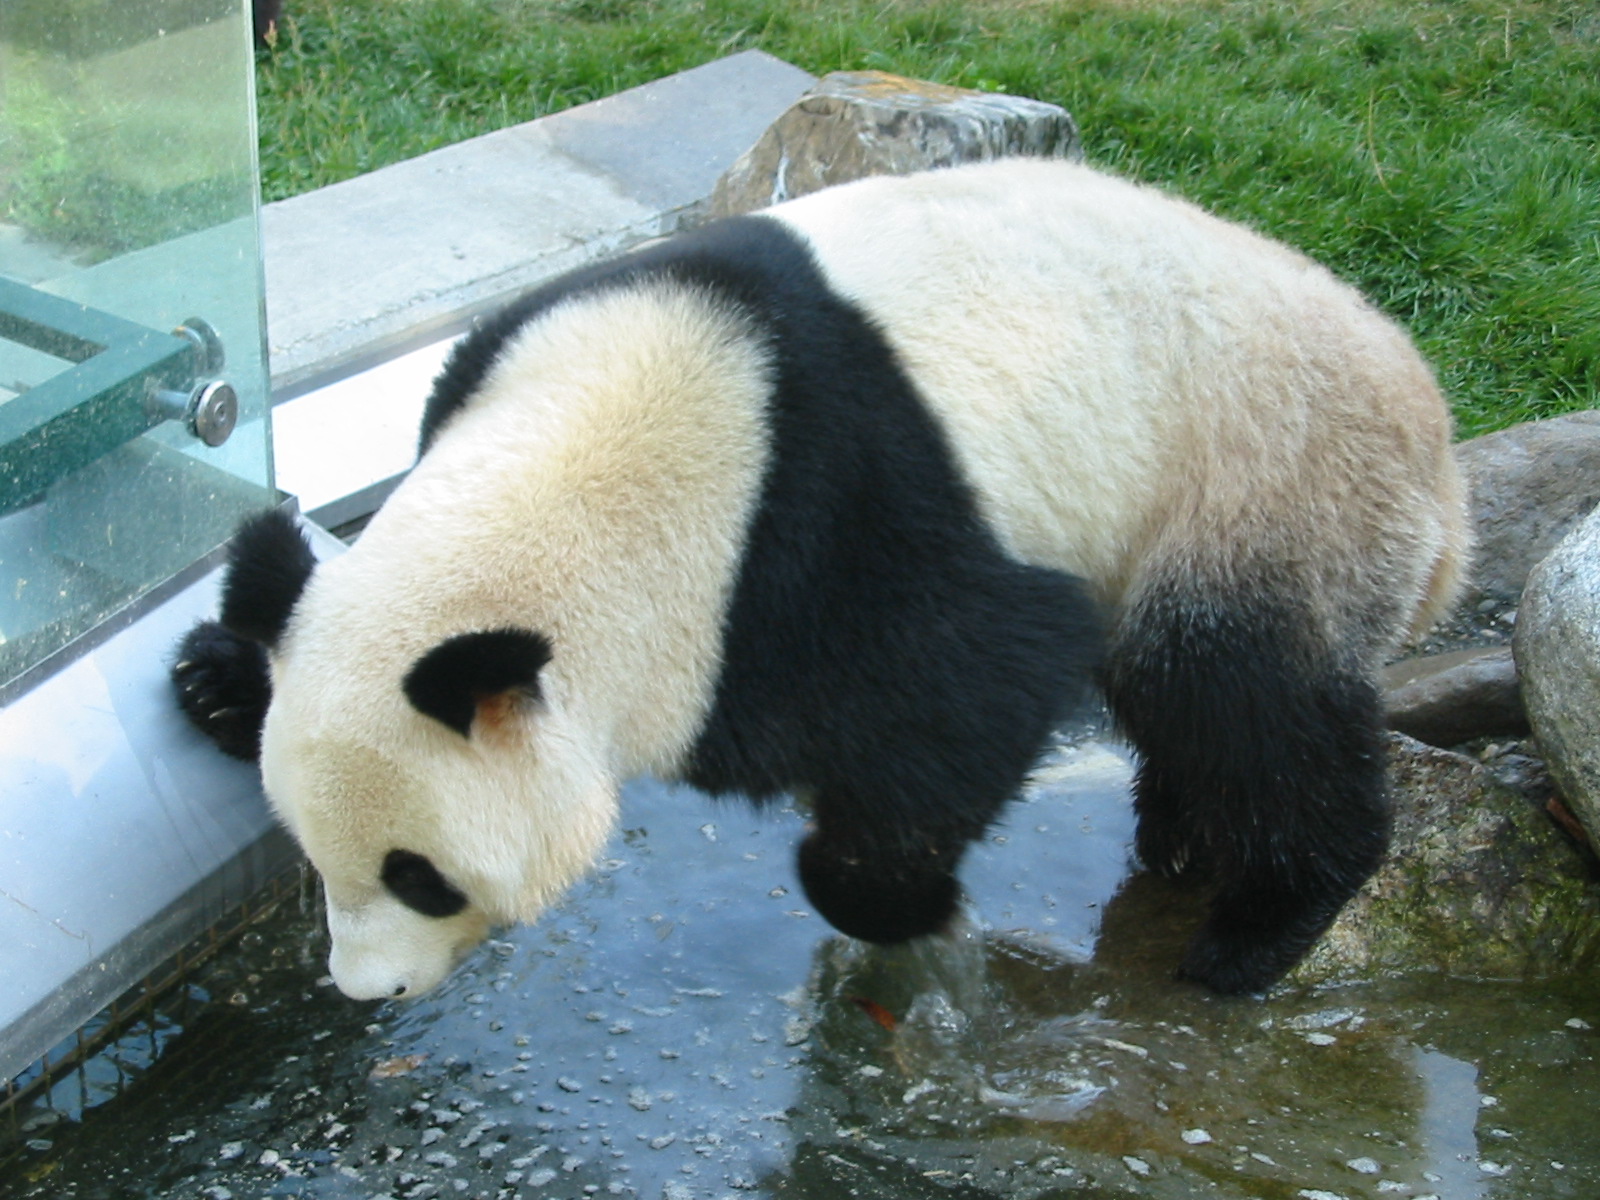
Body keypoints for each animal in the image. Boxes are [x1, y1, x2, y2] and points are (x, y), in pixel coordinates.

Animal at [172, 158, 1470, 1001]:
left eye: (422, 878)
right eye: (311, 858)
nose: (366, 991)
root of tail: (1439, 450)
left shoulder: (841, 527)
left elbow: (969, 684)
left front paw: (898, 902)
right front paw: (218, 675)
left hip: (1264, 487)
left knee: (1240, 695)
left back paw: (1259, 926)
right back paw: (1185, 842)